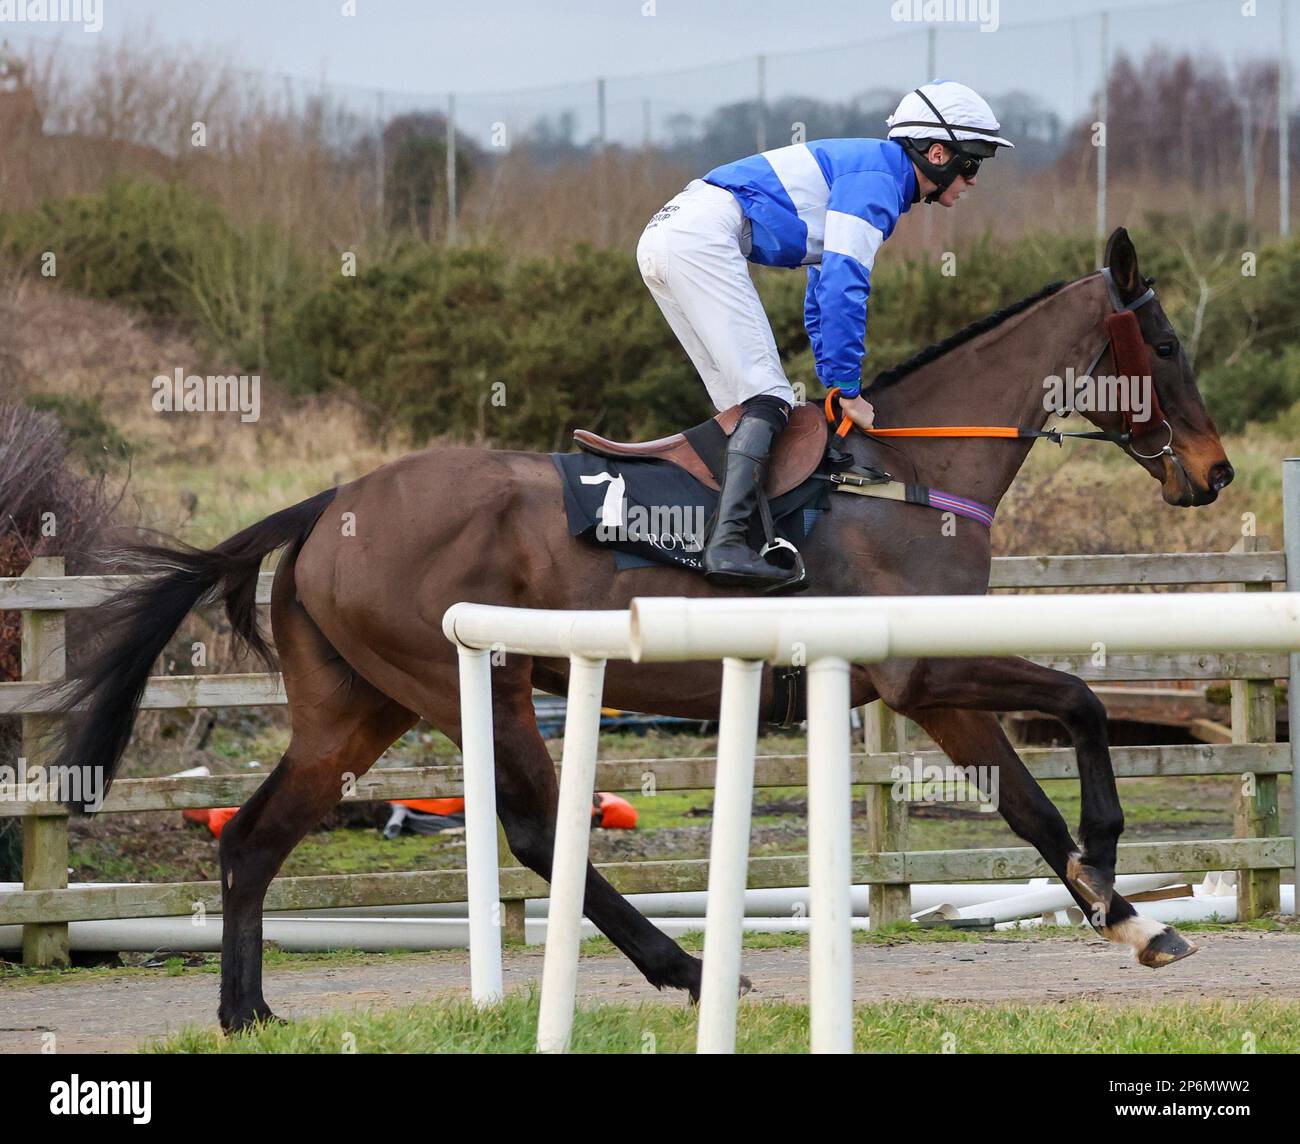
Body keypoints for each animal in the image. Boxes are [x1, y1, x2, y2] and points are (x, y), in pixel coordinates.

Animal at [53, 227, 1227, 1034]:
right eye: (1166, 342)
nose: (1214, 475)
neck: (903, 471)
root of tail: (327, 503)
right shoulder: (926, 669)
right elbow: (1080, 702)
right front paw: (1114, 873)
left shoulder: (931, 690)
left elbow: (1028, 806)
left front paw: (1131, 919)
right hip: (473, 680)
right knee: (537, 835)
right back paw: (692, 968)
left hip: (357, 706)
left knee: (253, 837)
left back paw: (245, 1011)